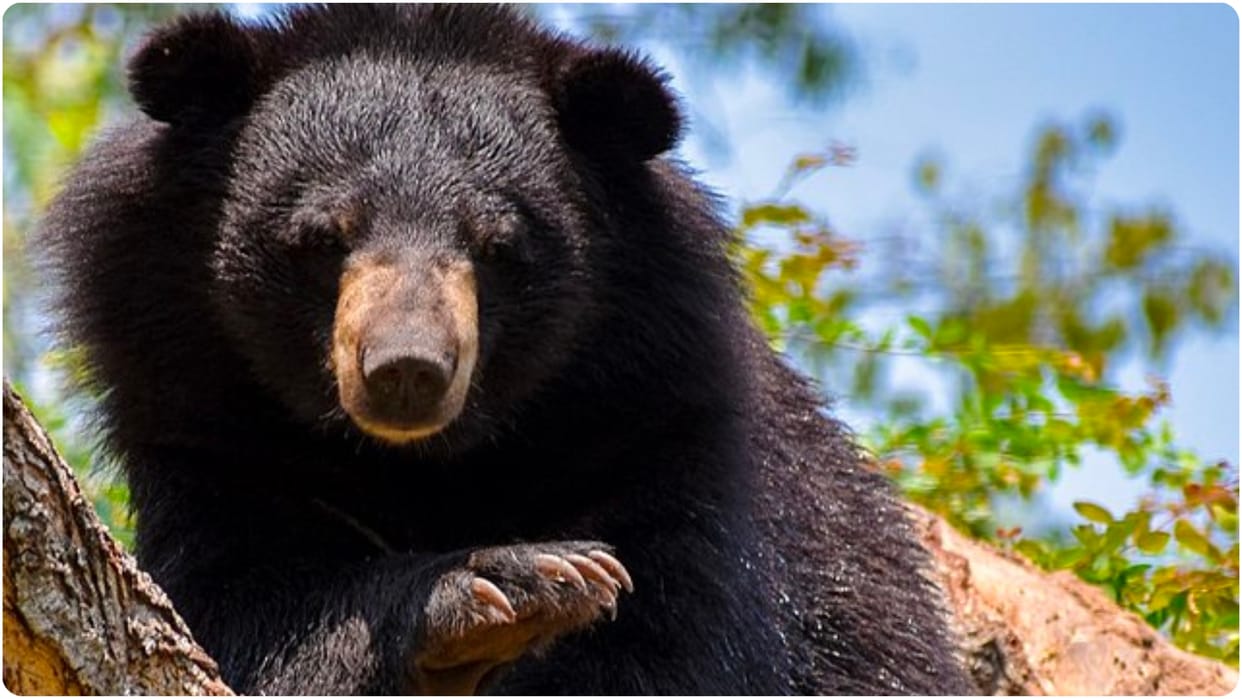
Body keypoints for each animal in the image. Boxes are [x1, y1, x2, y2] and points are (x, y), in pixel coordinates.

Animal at [36, 4, 972, 695]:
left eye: (495, 246)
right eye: (323, 235)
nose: (406, 372)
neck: (432, 464)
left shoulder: (658, 428)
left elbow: (669, 644)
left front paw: (559, 584)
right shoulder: (212, 434)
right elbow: (249, 618)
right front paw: (507, 589)